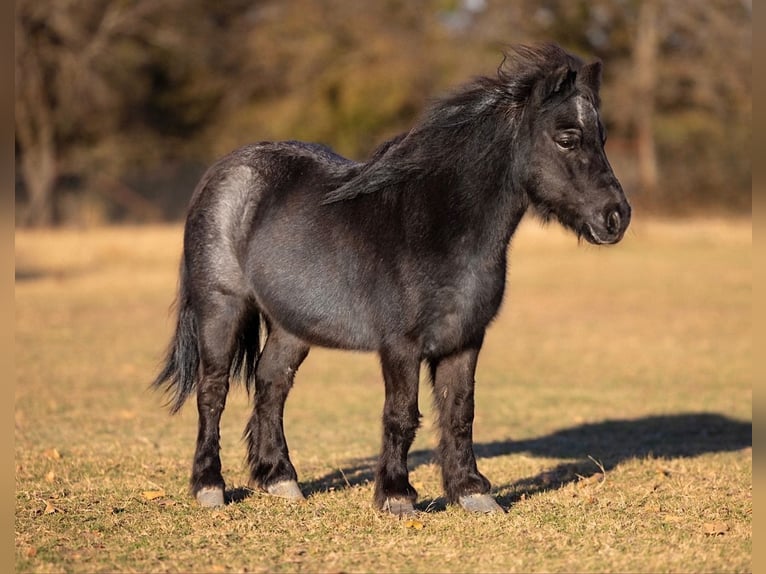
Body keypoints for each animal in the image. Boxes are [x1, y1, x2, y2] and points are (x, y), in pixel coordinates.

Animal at [153, 43, 631, 516]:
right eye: (567, 138)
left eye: (603, 138)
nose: (616, 217)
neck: (437, 226)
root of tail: (223, 172)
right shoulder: (401, 345)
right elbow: (402, 413)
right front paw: (397, 495)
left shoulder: (464, 340)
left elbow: (460, 412)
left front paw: (471, 491)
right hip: (221, 307)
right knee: (212, 391)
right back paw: (209, 487)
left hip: (292, 326)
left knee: (272, 384)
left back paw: (280, 480)